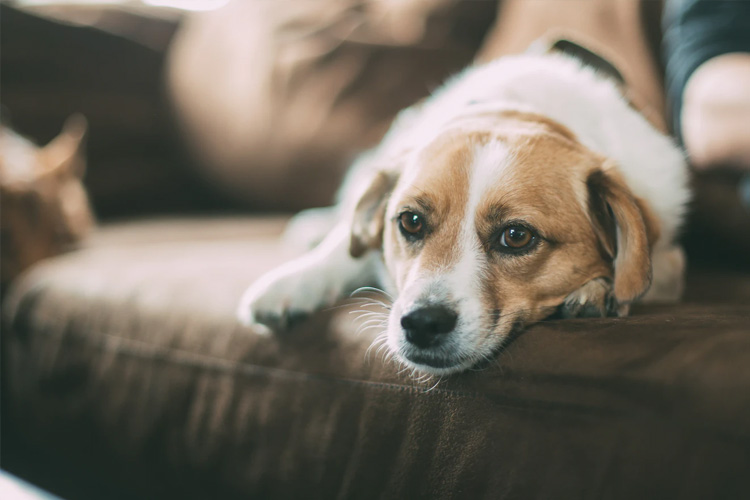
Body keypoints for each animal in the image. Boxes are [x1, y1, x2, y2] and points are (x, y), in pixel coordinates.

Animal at [238, 49, 692, 376]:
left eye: (517, 236)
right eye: (410, 221)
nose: (422, 323)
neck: (517, 110)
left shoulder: (668, 256)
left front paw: (599, 290)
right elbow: (343, 248)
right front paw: (293, 282)